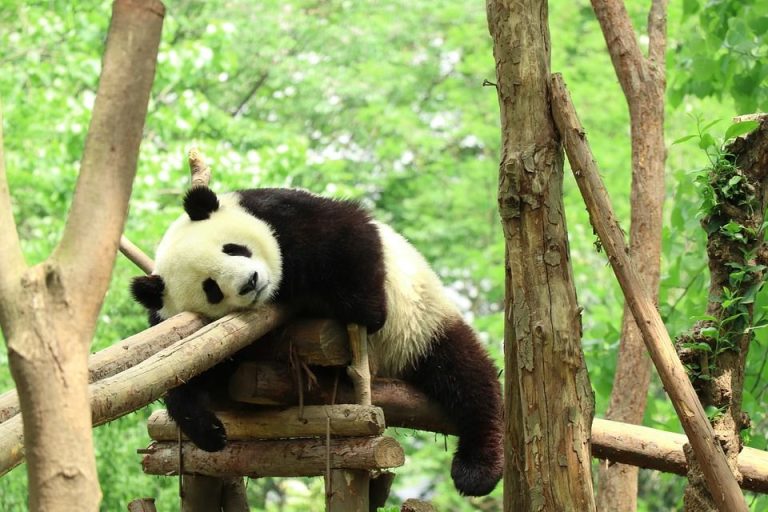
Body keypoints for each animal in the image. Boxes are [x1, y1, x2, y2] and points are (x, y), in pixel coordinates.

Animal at [131, 186, 503, 497]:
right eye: (212, 288)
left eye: (233, 249)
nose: (251, 282)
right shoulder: (177, 325)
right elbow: (184, 372)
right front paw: (209, 431)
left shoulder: (281, 214)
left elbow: (347, 233)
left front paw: (366, 310)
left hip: (421, 323)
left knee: (468, 381)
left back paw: (477, 470)